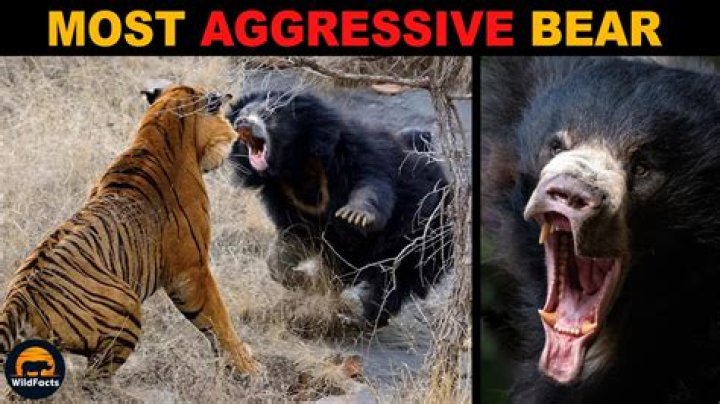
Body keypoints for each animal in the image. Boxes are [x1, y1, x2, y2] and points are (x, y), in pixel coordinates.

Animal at [226, 89, 452, 328]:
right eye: (242, 113)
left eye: (268, 114)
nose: (242, 123)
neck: (294, 164)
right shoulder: (284, 196)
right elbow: (293, 239)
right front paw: (303, 280)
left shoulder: (355, 151)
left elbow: (371, 183)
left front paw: (355, 215)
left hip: (423, 239)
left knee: (393, 284)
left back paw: (361, 318)